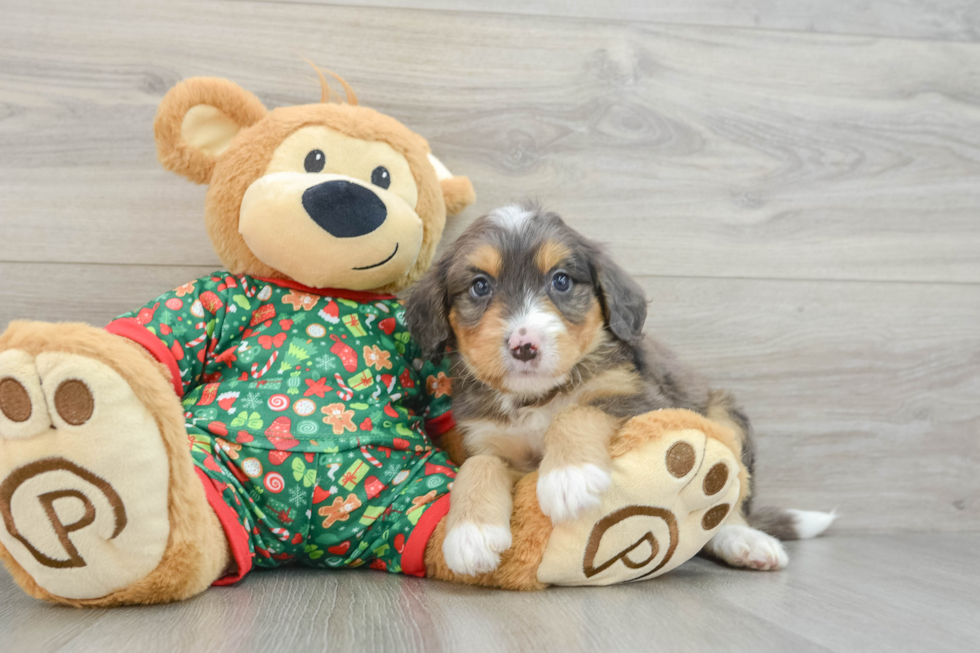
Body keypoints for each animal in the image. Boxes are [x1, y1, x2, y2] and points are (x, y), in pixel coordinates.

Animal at [406, 204, 836, 576]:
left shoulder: (643, 400)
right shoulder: (486, 439)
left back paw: (745, 541)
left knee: (731, 504)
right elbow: (478, 466)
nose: (524, 346)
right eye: (480, 286)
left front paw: (569, 477)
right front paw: (470, 535)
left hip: (724, 416)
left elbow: (576, 411)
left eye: (561, 280)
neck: (538, 397)